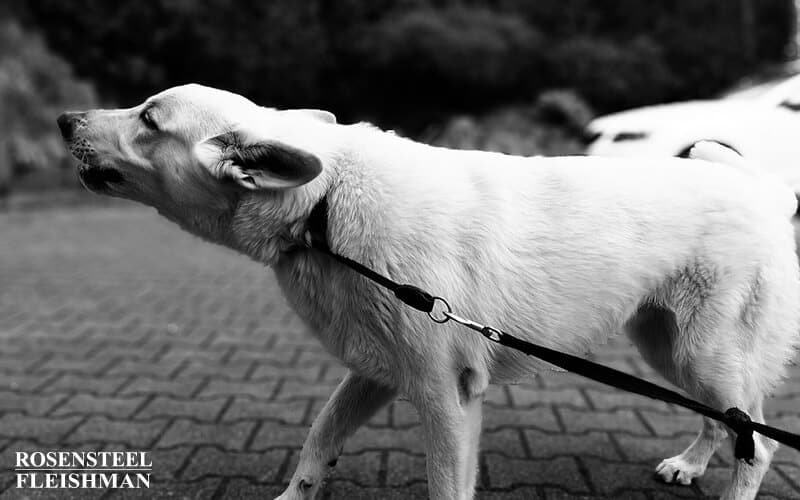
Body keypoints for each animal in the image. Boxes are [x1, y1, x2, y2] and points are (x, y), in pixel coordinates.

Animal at [57, 84, 800, 498]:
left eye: (149, 120)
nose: (64, 121)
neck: (323, 204)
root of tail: (748, 182)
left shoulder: (447, 395)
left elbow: (445, 486)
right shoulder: (376, 370)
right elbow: (317, 444)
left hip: (700, 351)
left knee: (758, 444)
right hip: (666, 344)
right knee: (730, 421)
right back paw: (690, 465)